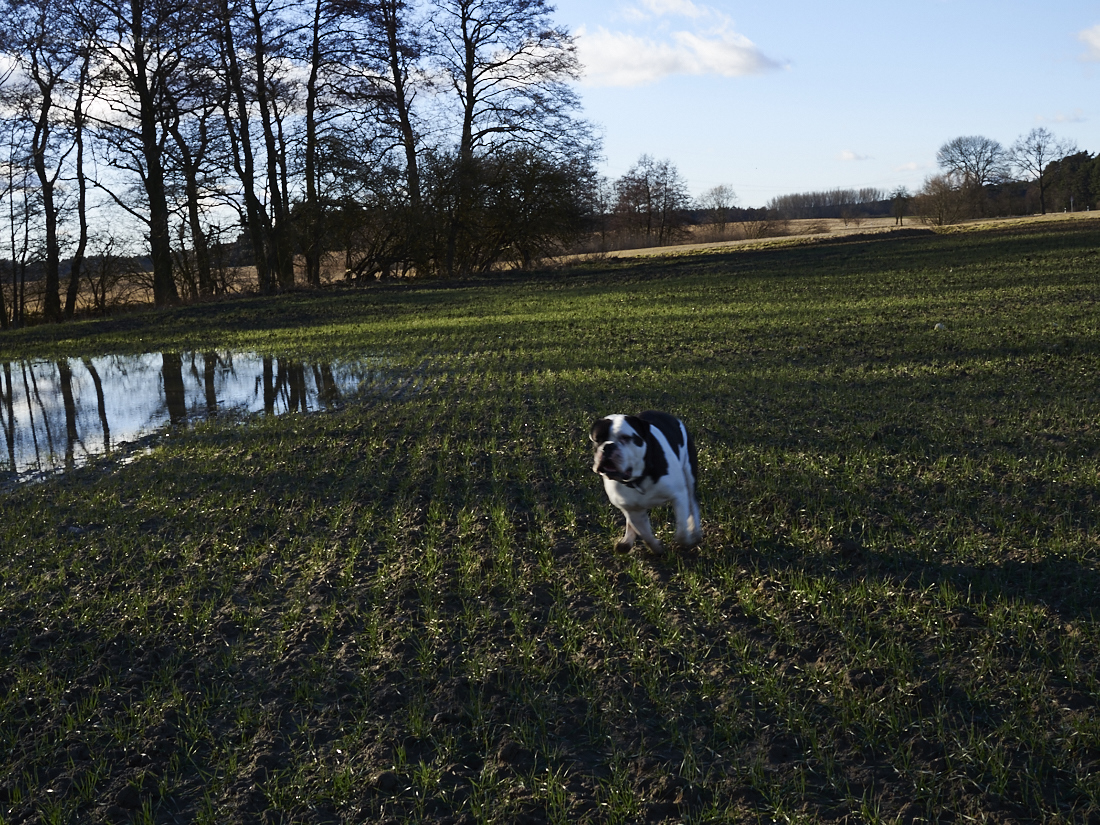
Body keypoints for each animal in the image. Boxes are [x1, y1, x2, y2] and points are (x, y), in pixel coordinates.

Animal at [589, 413, 699, 556]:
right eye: (597, 439)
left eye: (625, 438)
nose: (608, 446)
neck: (637, 479)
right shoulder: (633, 511)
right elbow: (645, 534)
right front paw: (656, 548)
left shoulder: (679, 494)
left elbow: (682, 530)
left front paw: (686, 540)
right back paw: (626, 542)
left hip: (689, 474)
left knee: (693, 503)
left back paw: (696, 531)